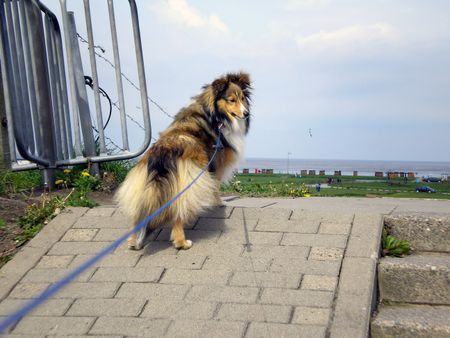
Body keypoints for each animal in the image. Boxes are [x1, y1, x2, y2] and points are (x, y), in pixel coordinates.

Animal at [114, 72, 251, 251]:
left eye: (242, 98)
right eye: (231, 100)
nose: (246, 113)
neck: (213, 113)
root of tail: (163, 151)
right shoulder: (217, 164)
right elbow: (215, 186)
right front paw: (219, 203)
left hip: (143, 186)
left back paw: (133, 241)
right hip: (188, 181)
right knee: (178, 212)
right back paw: (181, 242)